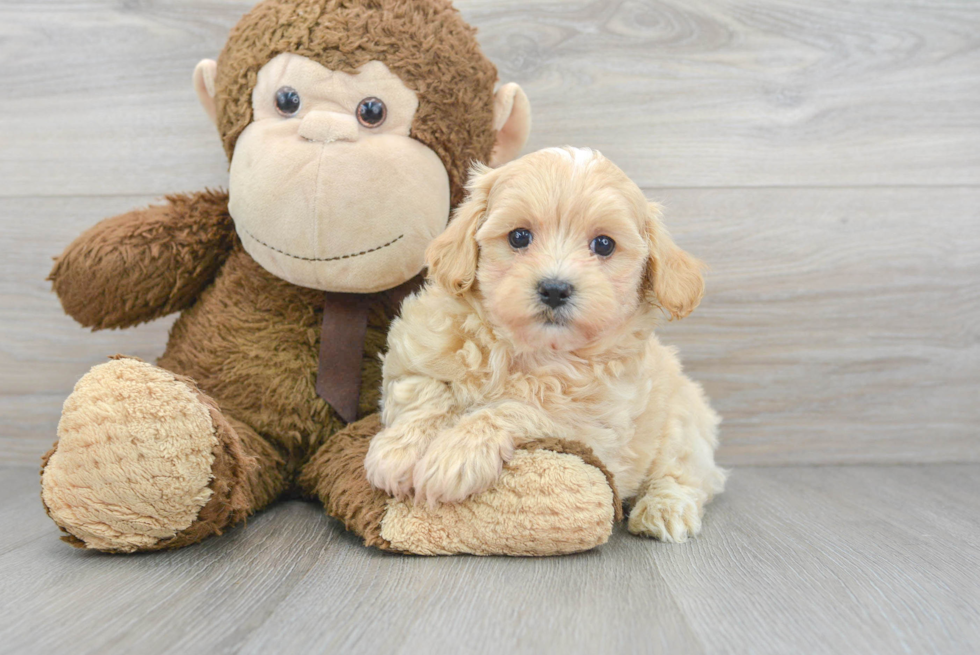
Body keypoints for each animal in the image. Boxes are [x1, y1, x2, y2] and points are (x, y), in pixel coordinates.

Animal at [364, 149, 724, 544]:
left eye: (604, 244)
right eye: (519, 237)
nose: (554, 288)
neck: (524, 349)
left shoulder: (593, 426)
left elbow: (515, 408)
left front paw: (456, 455)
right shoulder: (409, 358)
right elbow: (427, 393)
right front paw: (398, 451)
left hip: (683, 424)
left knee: (688, 476)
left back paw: (664, 510)